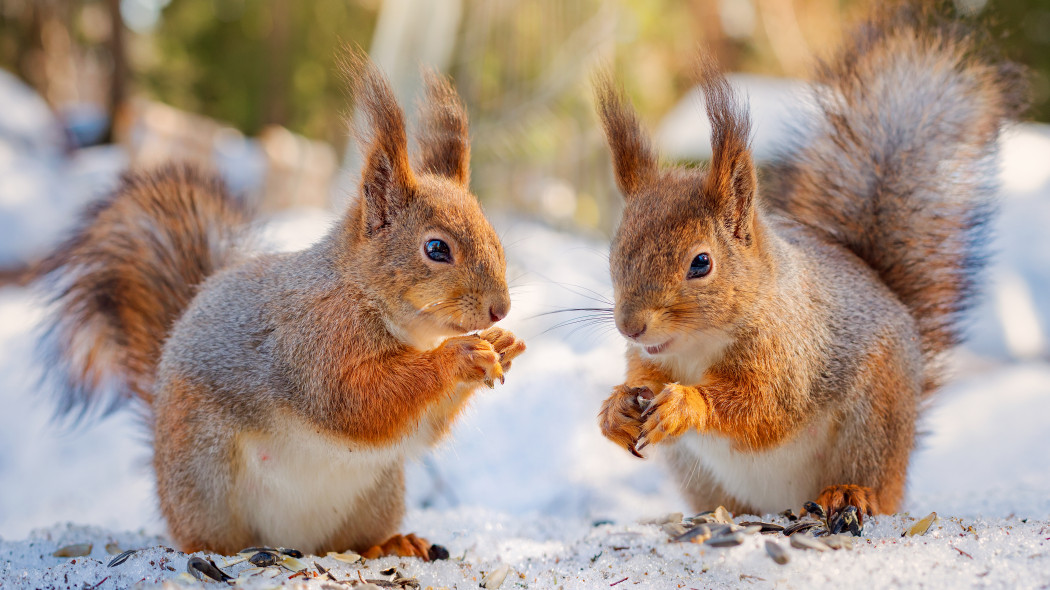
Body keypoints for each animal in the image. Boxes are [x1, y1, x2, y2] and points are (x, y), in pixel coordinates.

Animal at [39, 51, 525, 554]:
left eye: (493, 235)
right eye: (436, 249)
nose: (501, 309)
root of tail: (294, 542)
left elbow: (423, 430)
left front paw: (502, 344)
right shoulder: (312, 340)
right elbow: (356, 400)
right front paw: (461, 355)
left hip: (380, 491)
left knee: (354, 539)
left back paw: (390, 544)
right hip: (203, 474)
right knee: (206, 535)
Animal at [600, 4, 1024, 518]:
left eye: (701, 263)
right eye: (615, 250)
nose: (630, 327)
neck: (698, 344)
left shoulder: (793, 354)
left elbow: (764, 408)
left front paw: (687, 404)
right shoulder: (650, 359)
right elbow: (642, 375)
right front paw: (615, 410)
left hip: (873, 424)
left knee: (874, 485)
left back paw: (850, 494)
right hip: (696, 470)